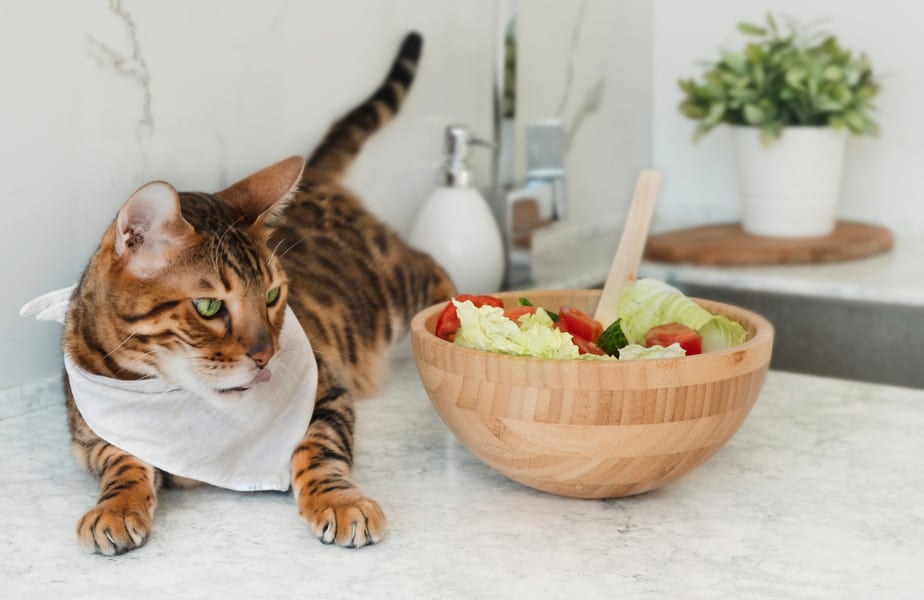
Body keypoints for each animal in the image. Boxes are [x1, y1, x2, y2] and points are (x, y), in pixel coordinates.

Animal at [57, 32, 454, 556]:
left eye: (271, 295)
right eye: (208, 306)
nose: (266, 355)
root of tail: (318, 181)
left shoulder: (328, 391)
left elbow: (319, 451)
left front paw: (340, 501)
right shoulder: (89, 429)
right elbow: (120, 458)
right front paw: (117, 507)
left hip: (388, 285)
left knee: (431, 266)